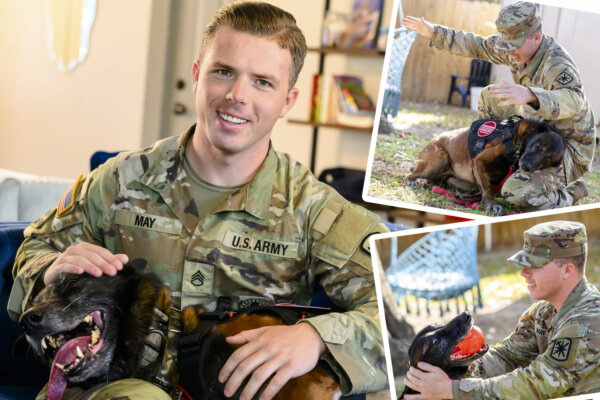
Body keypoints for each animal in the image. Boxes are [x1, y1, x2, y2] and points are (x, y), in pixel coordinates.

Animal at [406, 119, 564, 216]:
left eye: (548, 159)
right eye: (538, 146)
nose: (526, 166)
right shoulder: (478, 161)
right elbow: (487, 188)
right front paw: (491, 204)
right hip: (441, 159)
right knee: (410, 175)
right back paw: (411, 181)